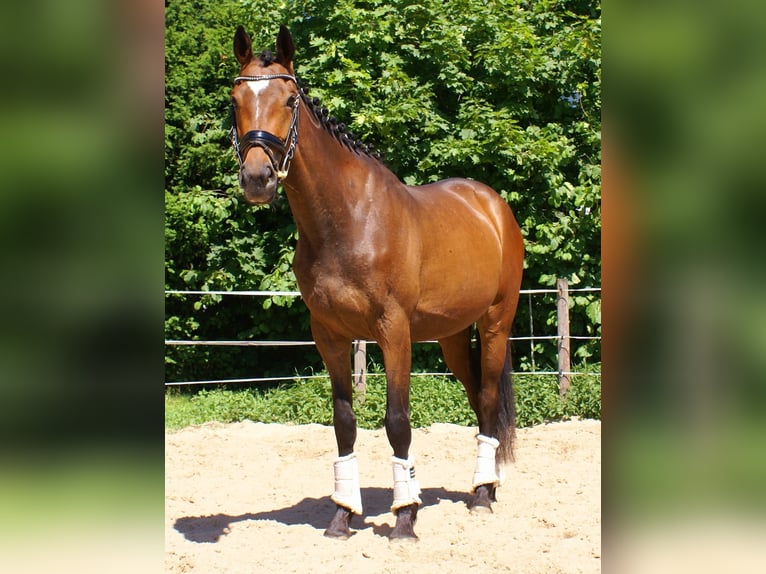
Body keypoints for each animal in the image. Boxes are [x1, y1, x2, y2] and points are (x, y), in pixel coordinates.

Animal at [229, 25, 524, 540]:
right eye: (235, 99)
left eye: (289, 100)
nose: (258, 178)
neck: (348, 222)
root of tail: (493, 206)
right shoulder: (328, 335)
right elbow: (344, 422)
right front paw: (342, 515)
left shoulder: (394, 332)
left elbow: (397, 422)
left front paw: (405, 516)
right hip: (451, 336)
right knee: (477, 400)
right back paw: (483, 487)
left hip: (495, 324)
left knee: (488, 399)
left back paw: (482, 496)